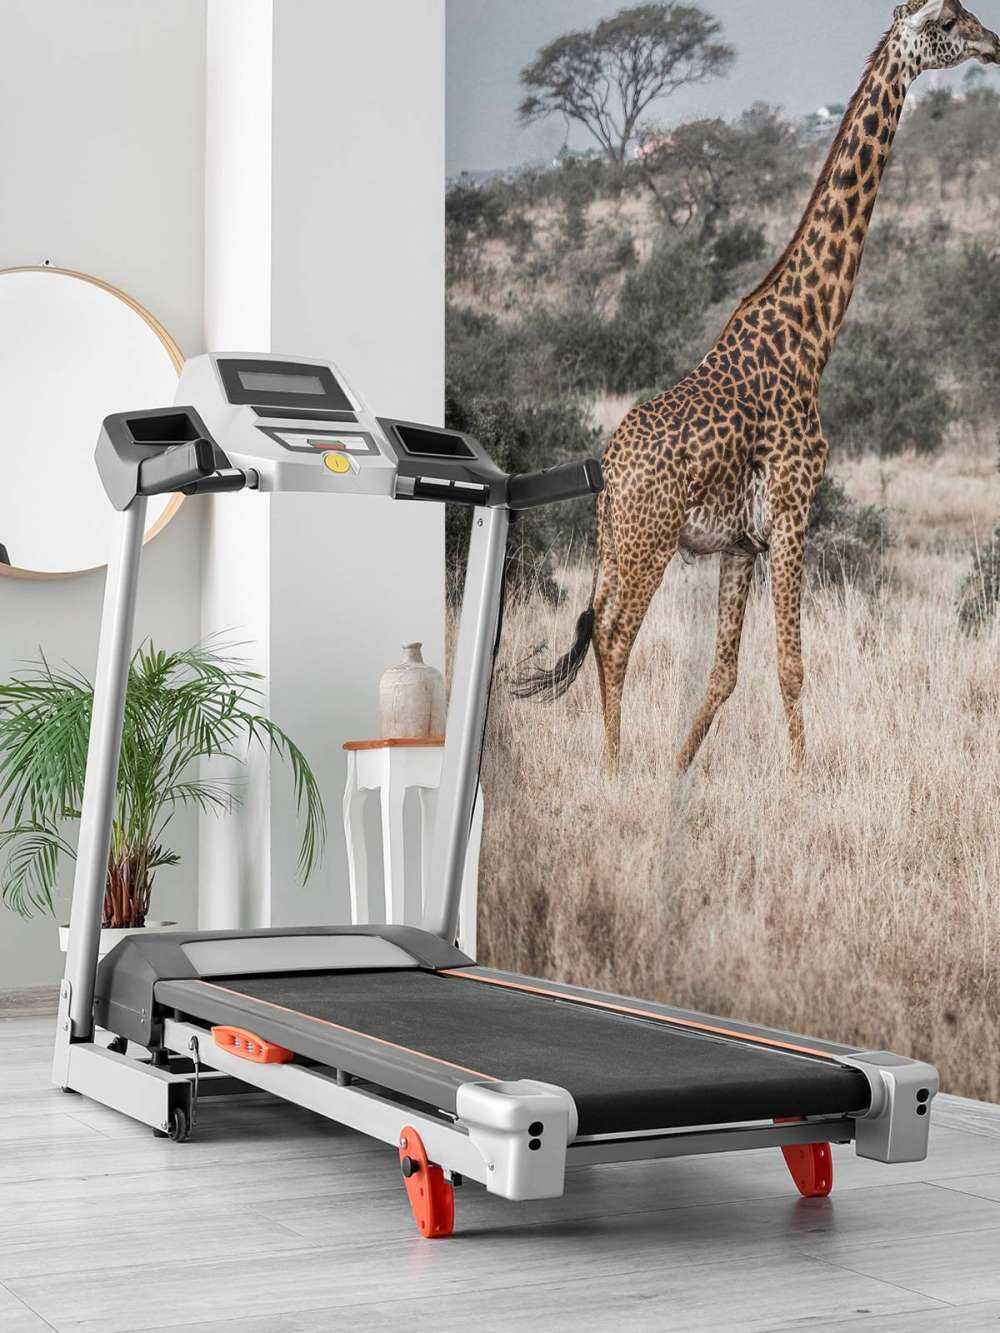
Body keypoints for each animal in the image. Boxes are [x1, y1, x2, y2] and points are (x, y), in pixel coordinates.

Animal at [516, 0, 999, 777]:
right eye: (949, 18)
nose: (993, 43)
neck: (811, 335)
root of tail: (609, 470)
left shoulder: (742, 543)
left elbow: (724, 672)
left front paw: (681, 768)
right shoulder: (795, 509)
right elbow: (791, 665)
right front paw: (803, 781)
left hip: (614, 542)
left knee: (595, 624)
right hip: (650, 541)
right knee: (615, 636)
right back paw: (614, 769)